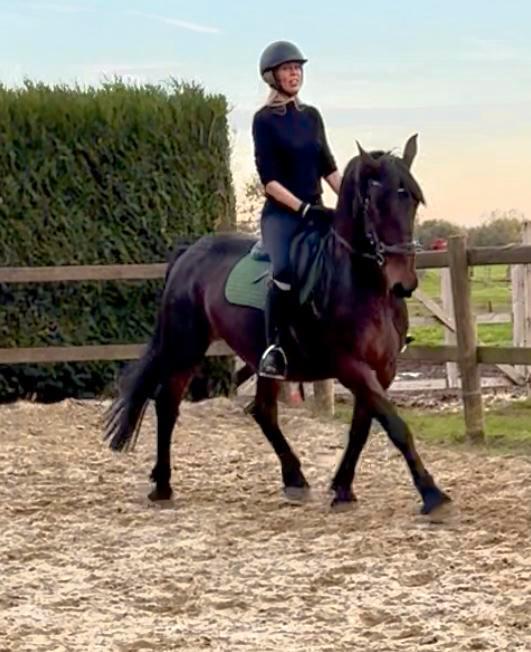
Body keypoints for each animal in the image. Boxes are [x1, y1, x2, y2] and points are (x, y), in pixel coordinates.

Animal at [103, 134, 451, 515]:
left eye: (413, 200)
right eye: (372, 203)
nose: (403, 284)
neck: (361, 286)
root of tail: (189, 253)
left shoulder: (383, 369)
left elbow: (363, 427)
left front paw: (343, 488)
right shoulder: (351, 365)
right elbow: (394, 424)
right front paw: (432, 494)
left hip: (261, 359)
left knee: (263, 411)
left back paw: (295, 479)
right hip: (186, 347)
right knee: (168, 405)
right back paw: (164, 486)